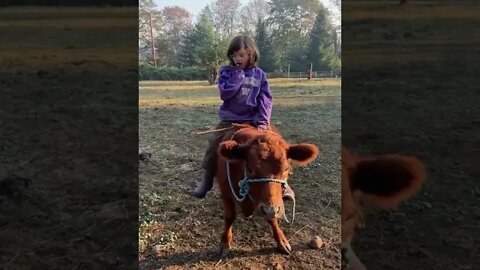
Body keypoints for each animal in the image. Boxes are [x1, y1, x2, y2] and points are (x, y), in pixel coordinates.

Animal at [217, 124, 318, 255]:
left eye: (286, 169)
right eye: (250, 168)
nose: (270, 210)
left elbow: (273, 219)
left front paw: (281, 241)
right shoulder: (225, 191)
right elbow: (229, 217)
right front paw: (225, 242)